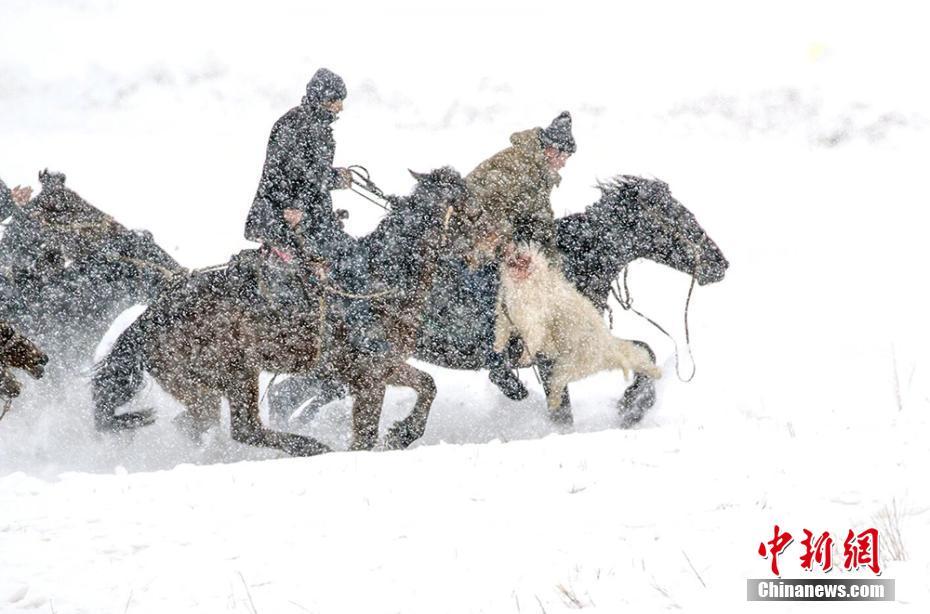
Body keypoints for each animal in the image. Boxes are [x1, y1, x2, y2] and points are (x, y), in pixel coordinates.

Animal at [93, 168, 464, 458]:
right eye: (465, 203)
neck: (377, 277)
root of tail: (146, 323)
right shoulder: (369, 372)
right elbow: (366, 434)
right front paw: (394, 436)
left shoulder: (382, 367)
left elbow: (427, 385)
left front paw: (403, 433)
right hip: (236, 372)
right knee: (245, 428)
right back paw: (309, 446)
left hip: (202, 391)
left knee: (195, 426)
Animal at [266, 176, 724, 430]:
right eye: (674, 218)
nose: (720, 263)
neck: (570, 260)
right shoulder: (550, 359)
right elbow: (563, 412)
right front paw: (628, 409)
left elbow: (644, 351)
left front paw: (631, 408)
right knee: (286, 397)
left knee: (290, 398)